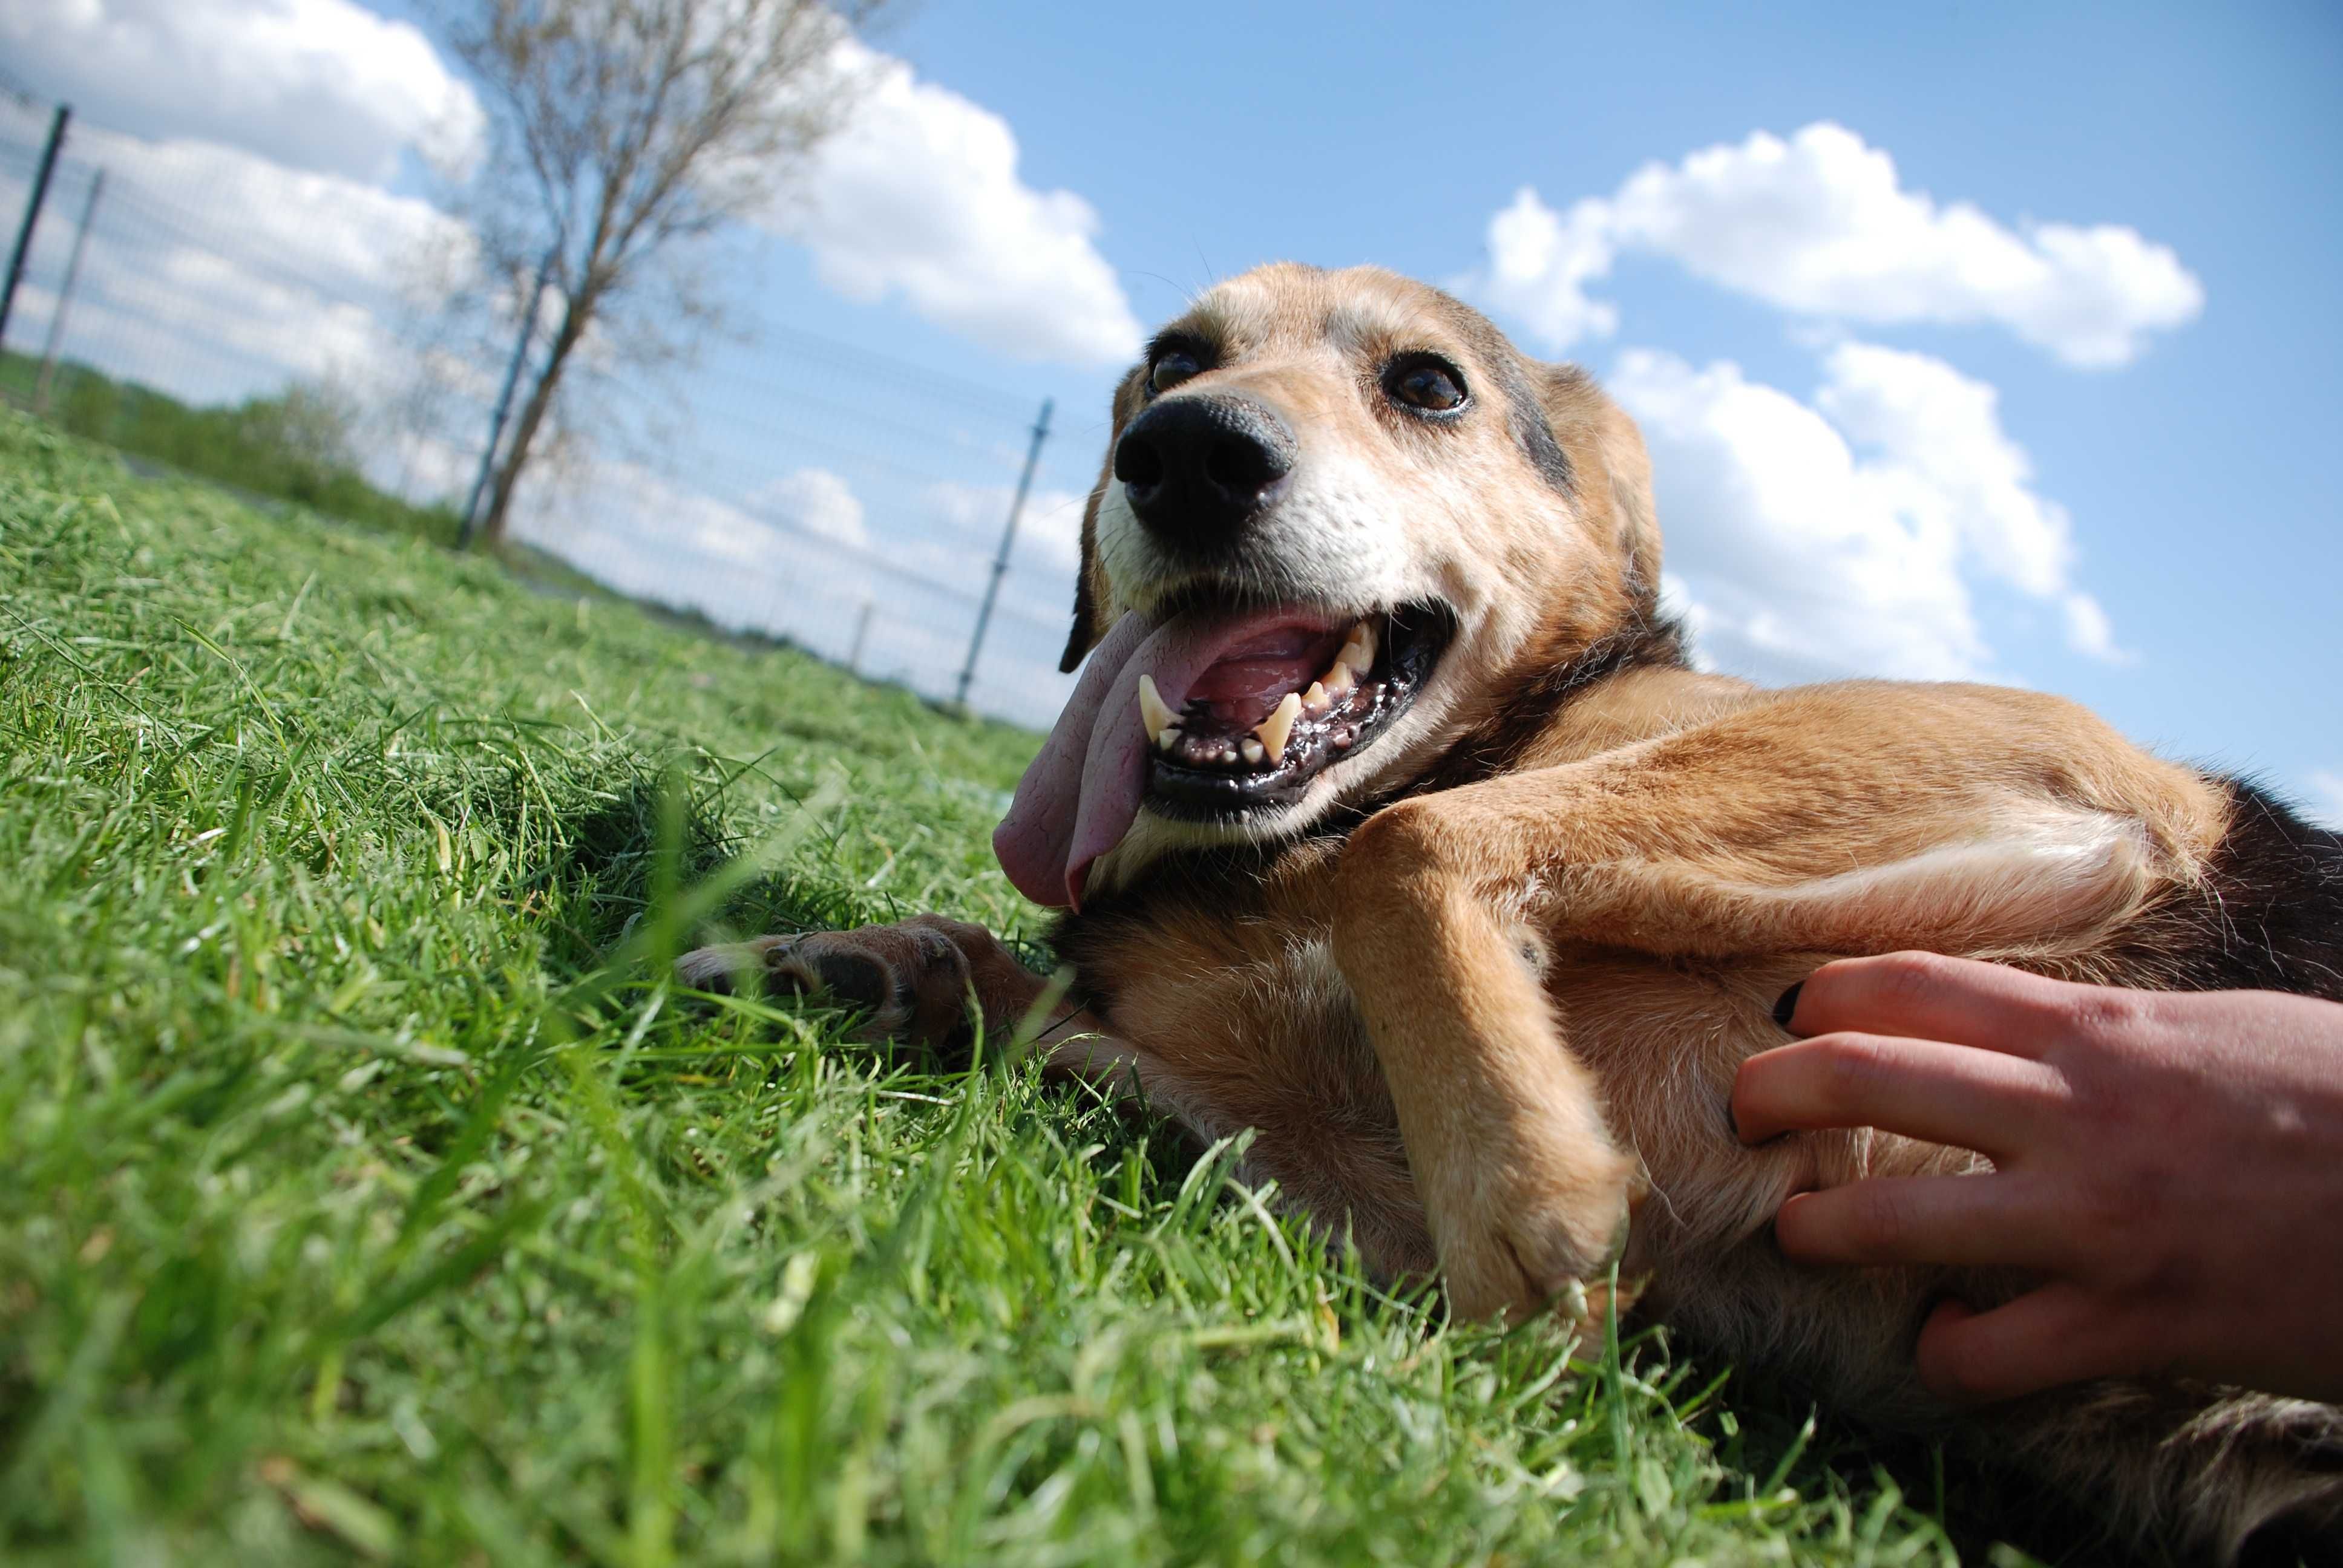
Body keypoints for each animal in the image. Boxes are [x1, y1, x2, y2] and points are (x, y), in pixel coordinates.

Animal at [684, 260, 2343, 1556]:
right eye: (1171, 359)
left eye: (1427, 384)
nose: (1186, 451)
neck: (1258, 860)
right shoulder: (1342, 1183)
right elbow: (1055, 1010)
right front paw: (857, 961)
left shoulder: (2077, 761)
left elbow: (1409, 847)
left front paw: (1524, 1177)